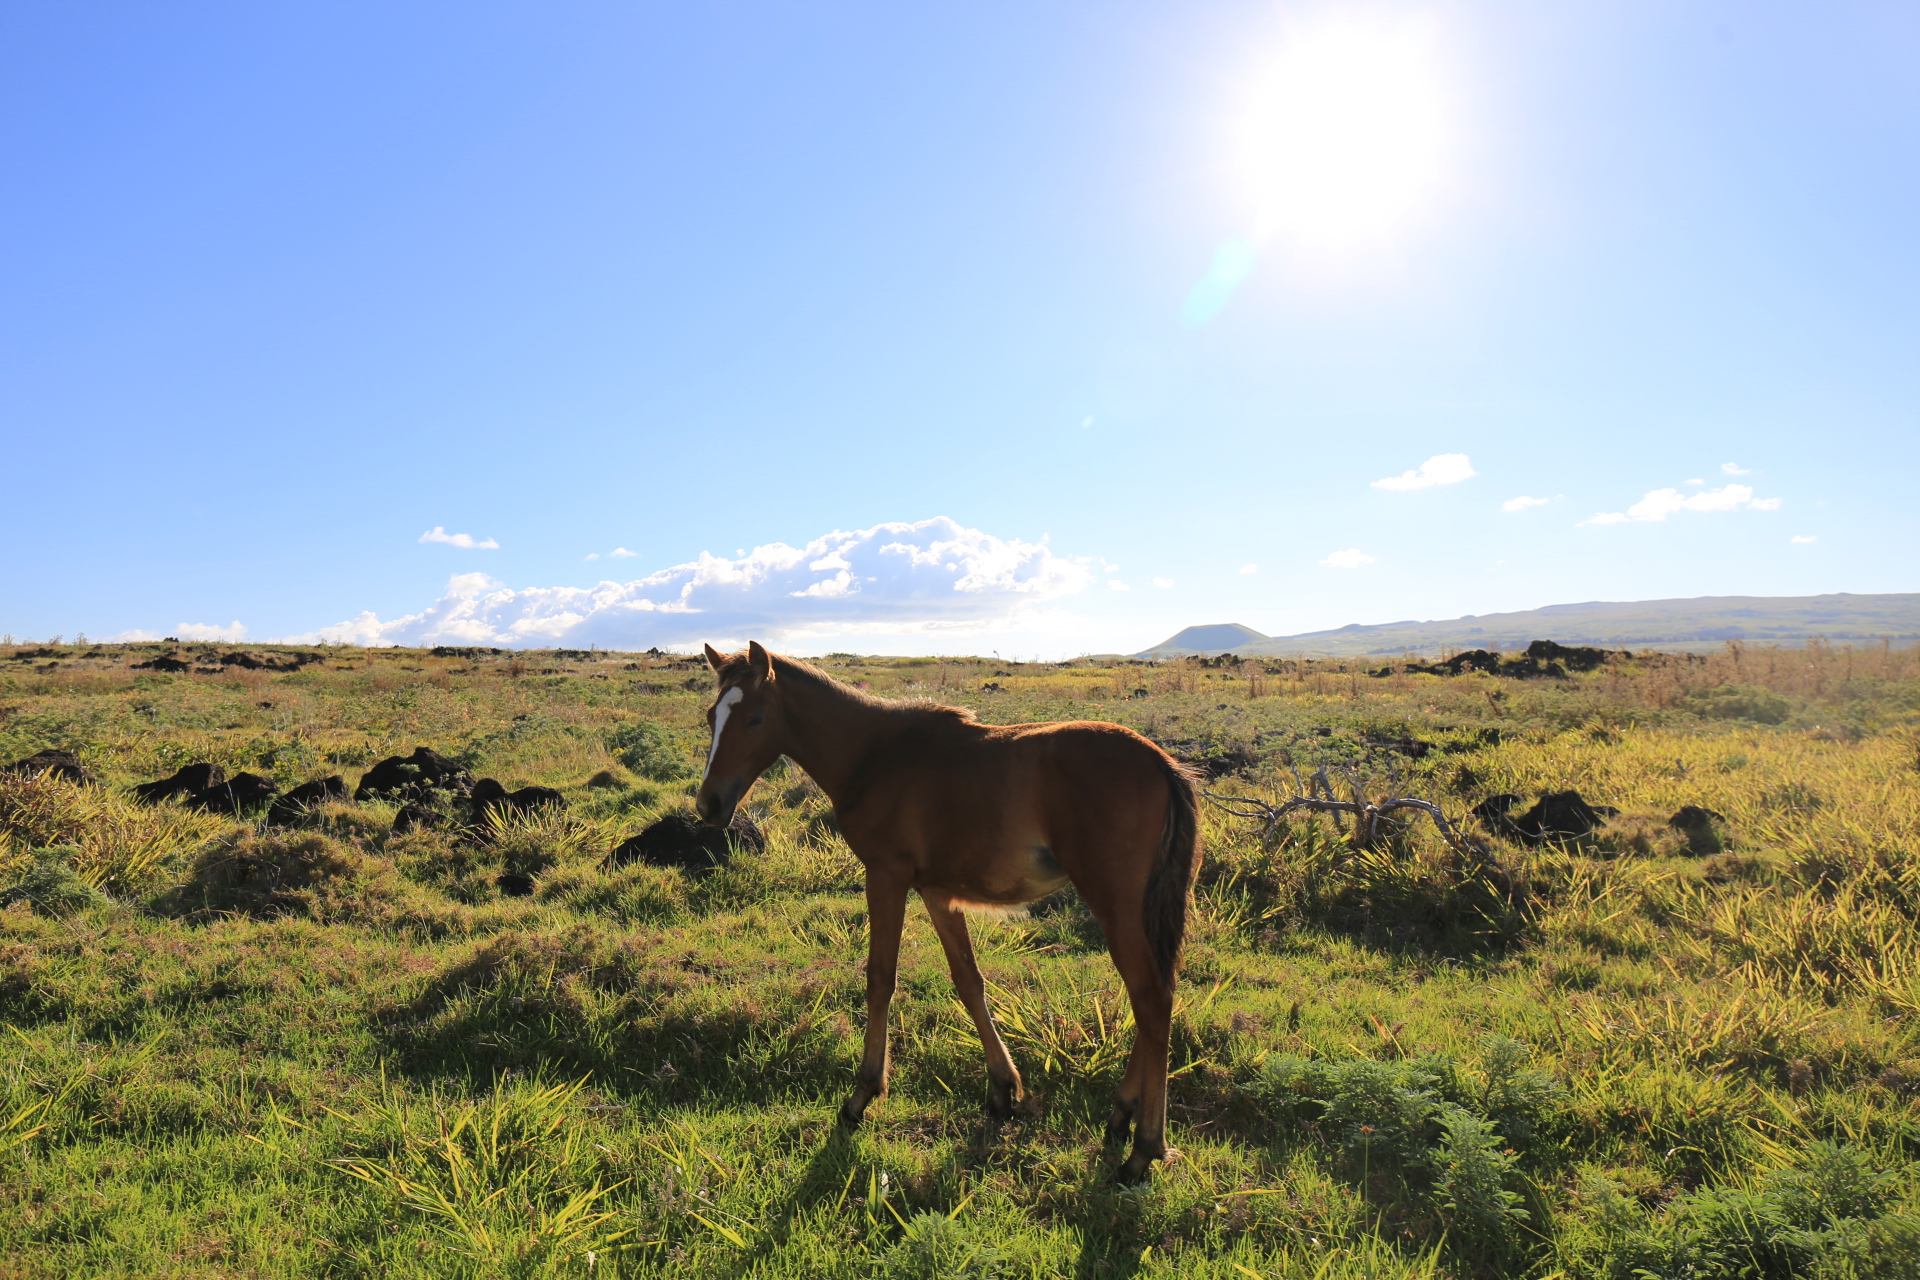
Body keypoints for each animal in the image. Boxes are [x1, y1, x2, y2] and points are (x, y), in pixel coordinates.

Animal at [698, 640, 1190, 1182]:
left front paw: (862, 1094)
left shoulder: (885, 876)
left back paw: (1145, 1146)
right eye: (712, 717)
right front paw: (1003, 1089)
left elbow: (880, 979)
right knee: (1155, 994)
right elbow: (969, 981)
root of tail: (1158, 761)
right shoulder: (937, 893)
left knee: (1151, 998)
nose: (709, 804)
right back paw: (1122, 1114)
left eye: (755, 719)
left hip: (1114, 903)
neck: (874, 758)